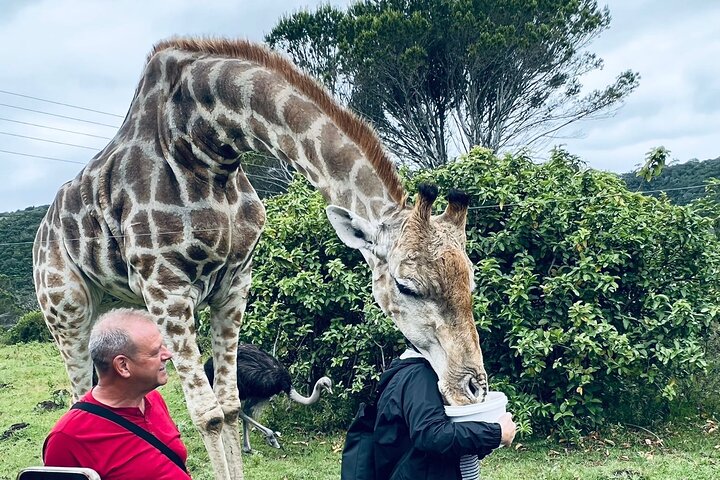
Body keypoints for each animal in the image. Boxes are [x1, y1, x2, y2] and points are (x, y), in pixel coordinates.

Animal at [32, 38, 488, 479]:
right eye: (406, 286)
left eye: (472, 281)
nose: (473, 389)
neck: (208, 146)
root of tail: (43, 230)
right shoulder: (165, 286)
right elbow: (208, 414)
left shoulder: (235, 284)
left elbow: (231, 406)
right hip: (66, 309)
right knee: (78, 392)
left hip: (109, 300)